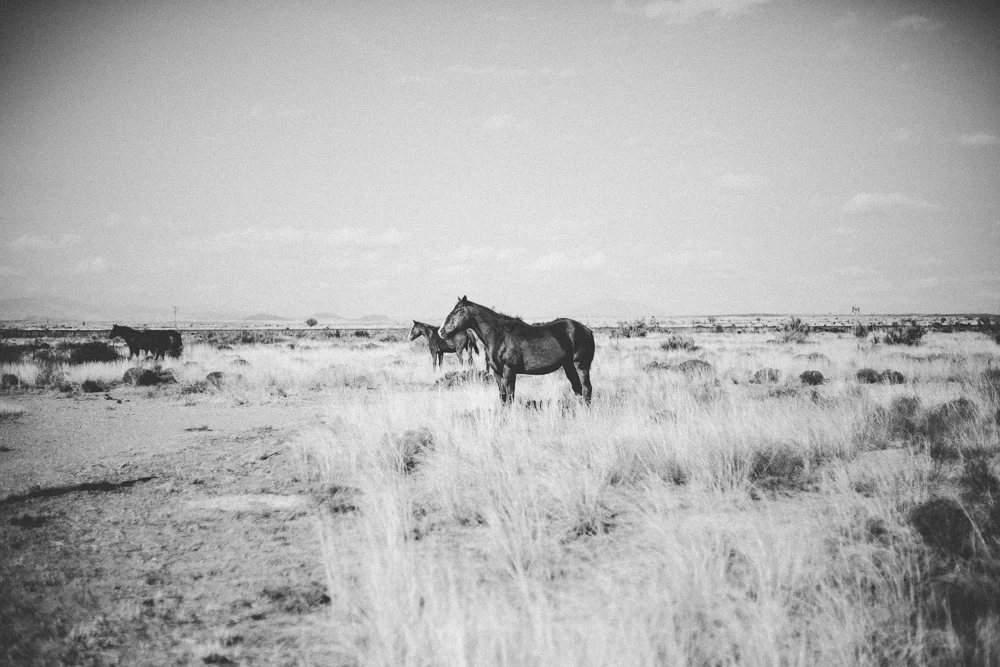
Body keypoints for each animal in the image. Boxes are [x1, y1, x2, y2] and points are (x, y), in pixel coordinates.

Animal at [439, 296, 594, 405]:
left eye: (458, 311)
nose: (441, 331)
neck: (499, 336)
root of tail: (586, 330)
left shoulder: (509, 370)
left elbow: (510, 396)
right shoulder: (497, 373)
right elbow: (502, 397)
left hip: (581, 365)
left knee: (586, 388)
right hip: (568, 366)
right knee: (577, 388)